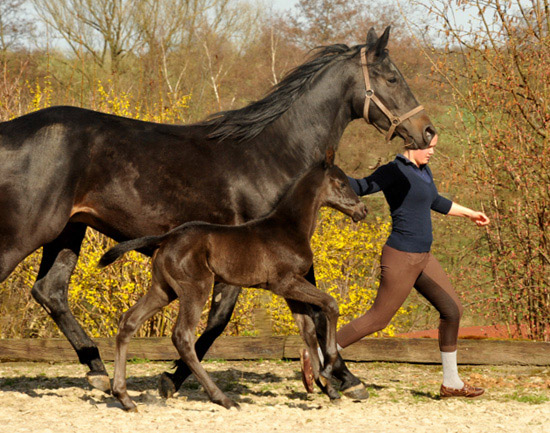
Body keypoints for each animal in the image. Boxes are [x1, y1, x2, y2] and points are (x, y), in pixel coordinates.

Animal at [99, 150, 368, 410]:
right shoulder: (286, 283)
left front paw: (326, 386)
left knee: (129, 321)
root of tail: (165, 238)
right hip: (195, 288)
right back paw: (223, 399)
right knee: (182, 336)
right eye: (341, 183)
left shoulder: (290, 289)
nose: (362, 210)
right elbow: (330, 304)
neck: (289, 229)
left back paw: (125, 398)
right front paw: (330, 366)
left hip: (163, 290)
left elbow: (308, 330)